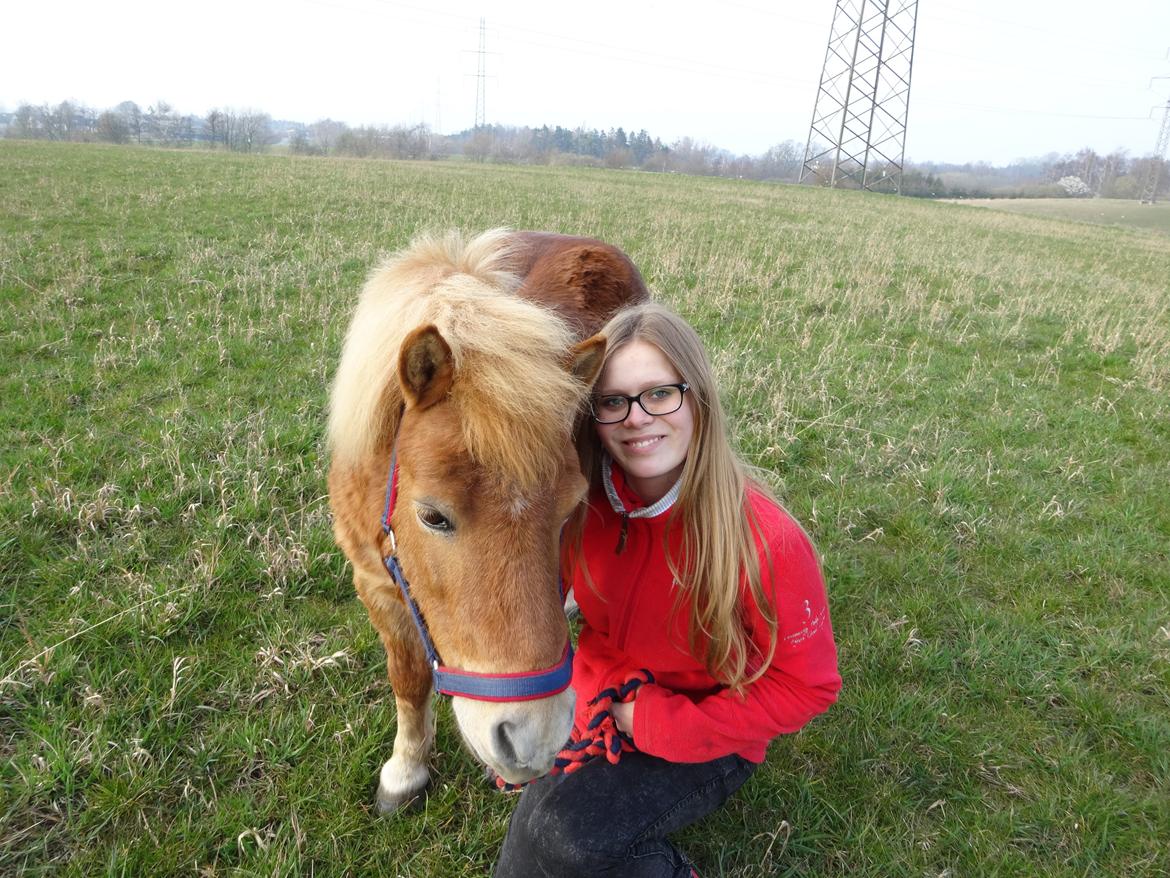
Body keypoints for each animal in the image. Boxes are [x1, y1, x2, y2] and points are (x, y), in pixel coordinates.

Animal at [327, 228, 648, 812]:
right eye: (432, 516)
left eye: (569, 510)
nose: (532, 738)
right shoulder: (375, 585)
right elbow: (408, 680)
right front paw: (406, 769)